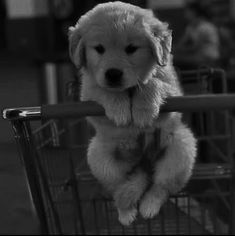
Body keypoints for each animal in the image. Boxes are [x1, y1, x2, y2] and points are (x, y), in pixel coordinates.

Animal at [68, 2, 196, 227]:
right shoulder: (88, 94)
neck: (128, 90)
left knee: (161, 187)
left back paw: (149, 206)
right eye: (99, 49)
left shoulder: (173, 90)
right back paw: (126, 212)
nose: (113, 74)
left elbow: (152, 83)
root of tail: (142, 165)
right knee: (119, 188)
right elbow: (104, 90)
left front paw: (143, 110)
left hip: (181, 148)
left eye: (131, 49)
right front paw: (120, 110)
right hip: (99, 157)